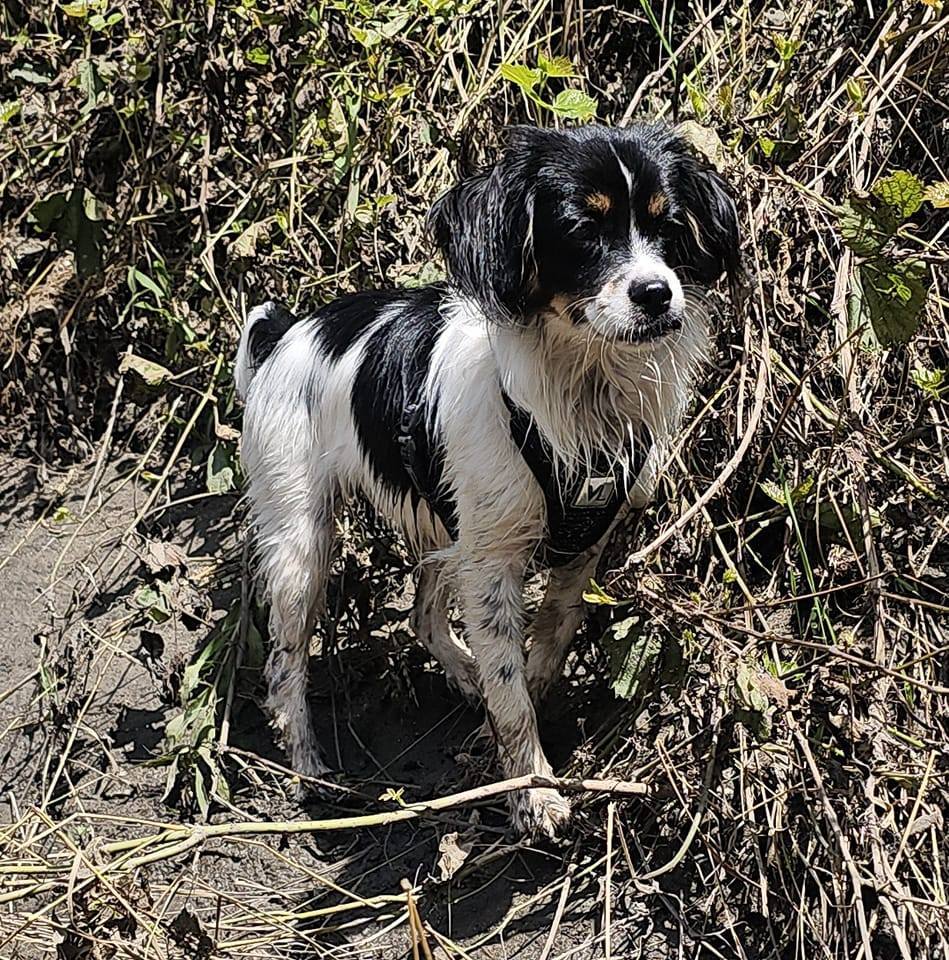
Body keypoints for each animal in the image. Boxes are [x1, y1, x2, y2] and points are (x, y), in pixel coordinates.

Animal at [233, 124, 736, 836]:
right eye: (582, 230)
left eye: (669, 226)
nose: (657, 293)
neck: (585, 388)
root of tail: (286, 332)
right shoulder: (493, 560)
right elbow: (510, 686)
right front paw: (534, 793)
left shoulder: (581, 537)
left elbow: (551, 629)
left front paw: (531, 694)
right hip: (303, 542)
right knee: (285, 666)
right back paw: (307, 767)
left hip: (447, 524)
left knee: (422, 616)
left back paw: (461, 678)